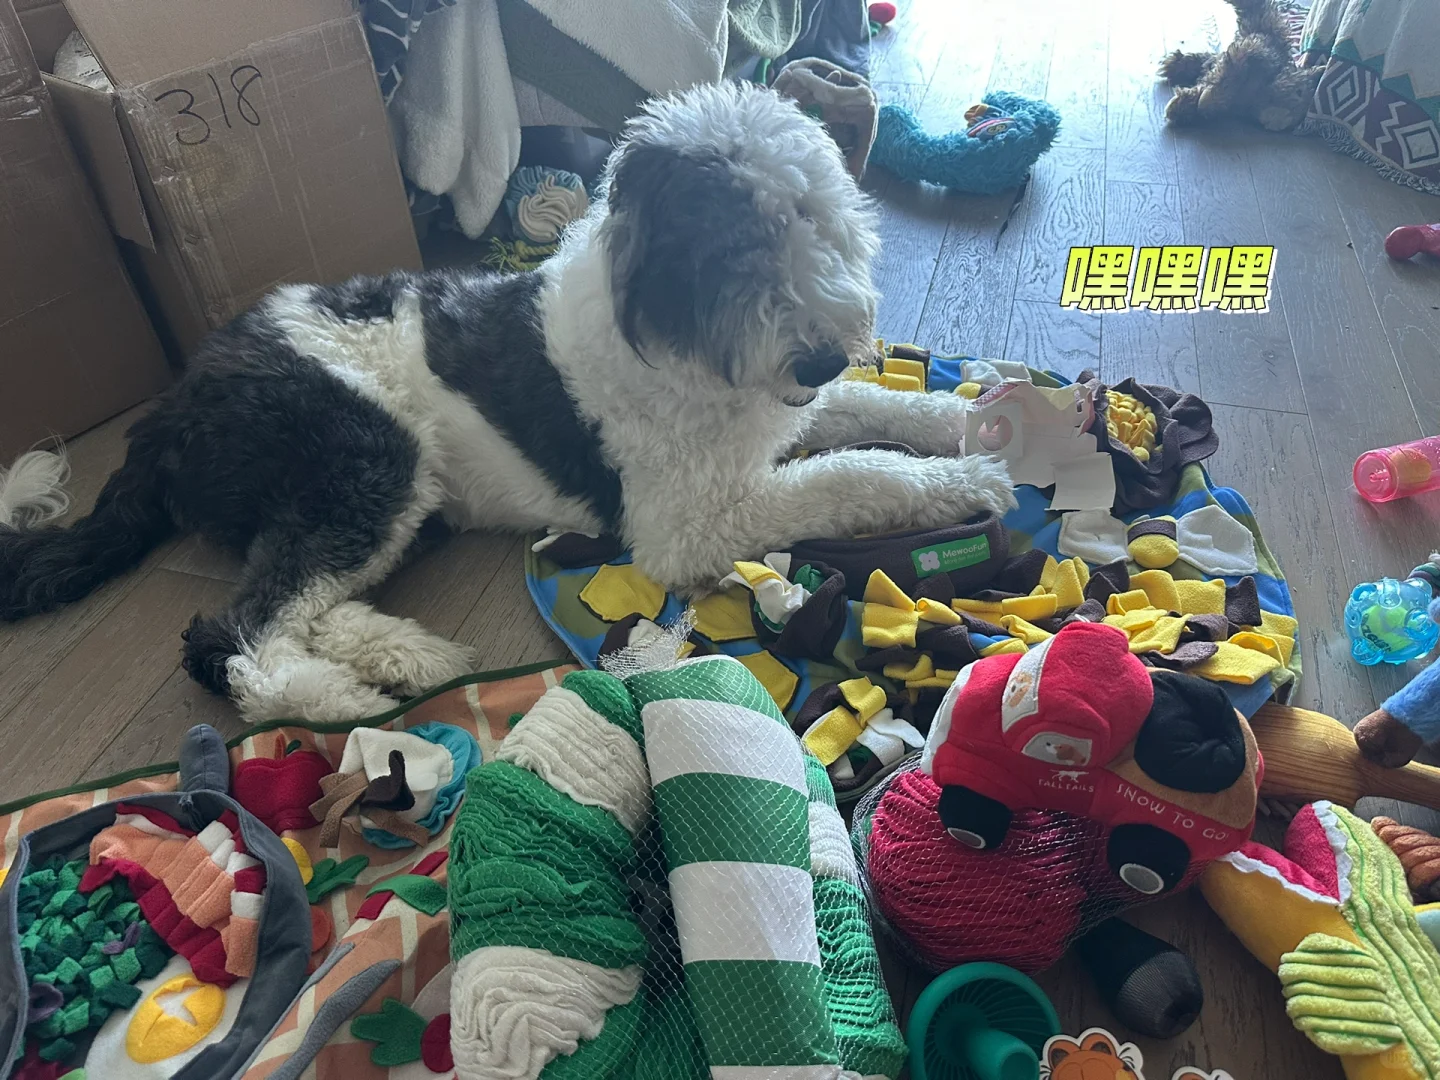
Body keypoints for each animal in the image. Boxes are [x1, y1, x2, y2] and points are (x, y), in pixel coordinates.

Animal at [0, 82, 1014, 723]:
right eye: (732, 245)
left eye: (812, 217)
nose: (818, 350)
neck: (671, 330)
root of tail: (169, 408)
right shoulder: (683, 523)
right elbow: (845, 475)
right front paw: (966, 481)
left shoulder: (782, 416)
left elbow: (864, 416)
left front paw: (963, 422)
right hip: (365, 457)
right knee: (236, 631)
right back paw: (340, 700)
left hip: (395, 503)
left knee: (307, 599)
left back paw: (408, 655)